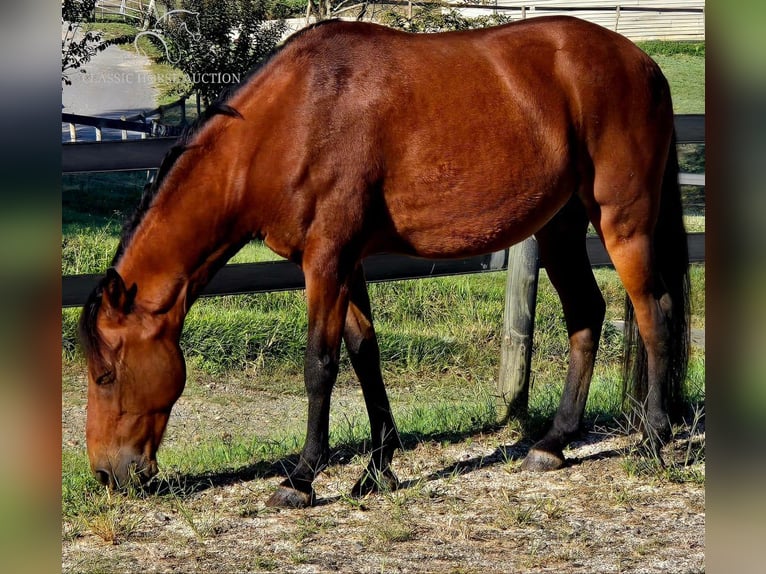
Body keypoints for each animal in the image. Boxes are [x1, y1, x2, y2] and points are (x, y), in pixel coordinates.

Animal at [78, 16, 688, 508]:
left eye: (105, 374)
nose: (107, 475)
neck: (292, 122)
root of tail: (643, 64)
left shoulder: (325, 261)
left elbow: (320, 365)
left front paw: (301, 478)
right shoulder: (345, 263)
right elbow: (363, 354)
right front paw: (378, 468)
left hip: (623, 223)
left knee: (654, 313)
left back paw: (655, 439)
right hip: (560, 229)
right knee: (586, 315)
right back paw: (554, 443)